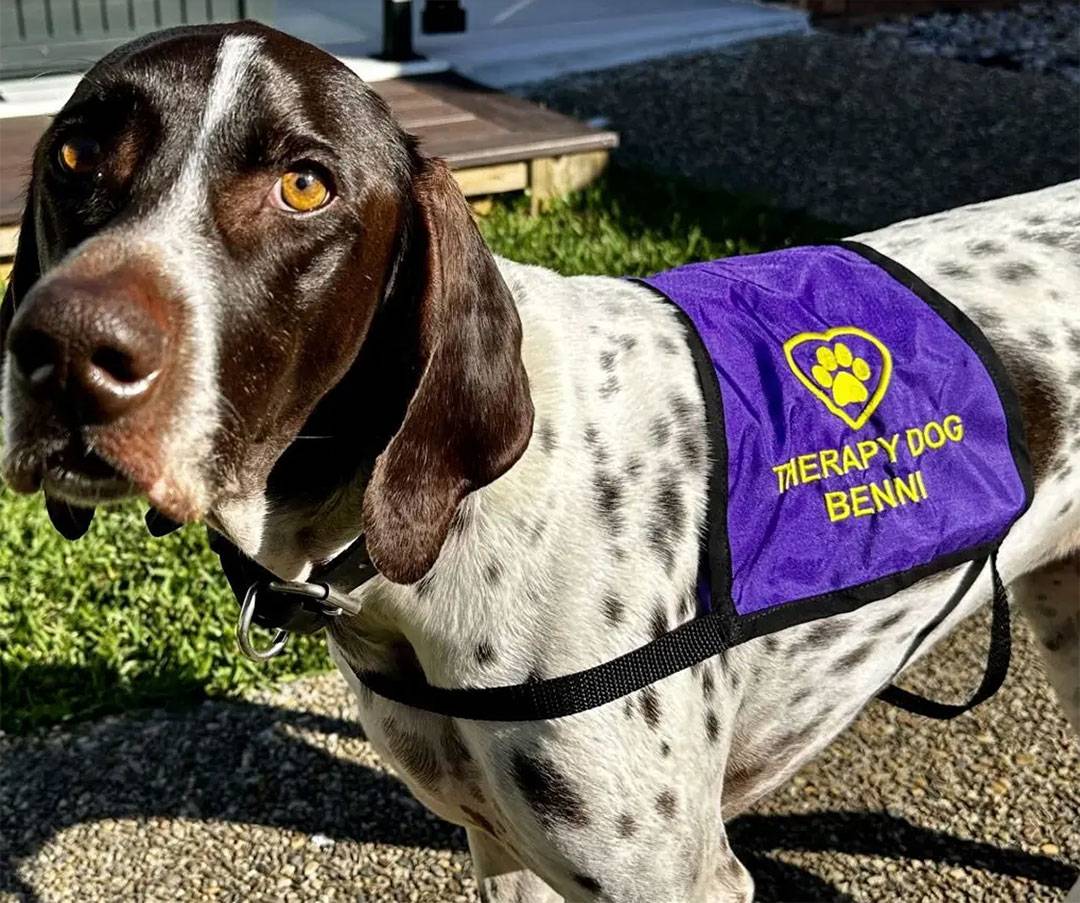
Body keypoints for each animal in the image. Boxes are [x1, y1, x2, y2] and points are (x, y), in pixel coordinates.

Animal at [2, 22, 1080, 903]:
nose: (62, 352)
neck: (430, 534)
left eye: (305, 183)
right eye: (76, 150)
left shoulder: (680, 880)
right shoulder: (507, 855)